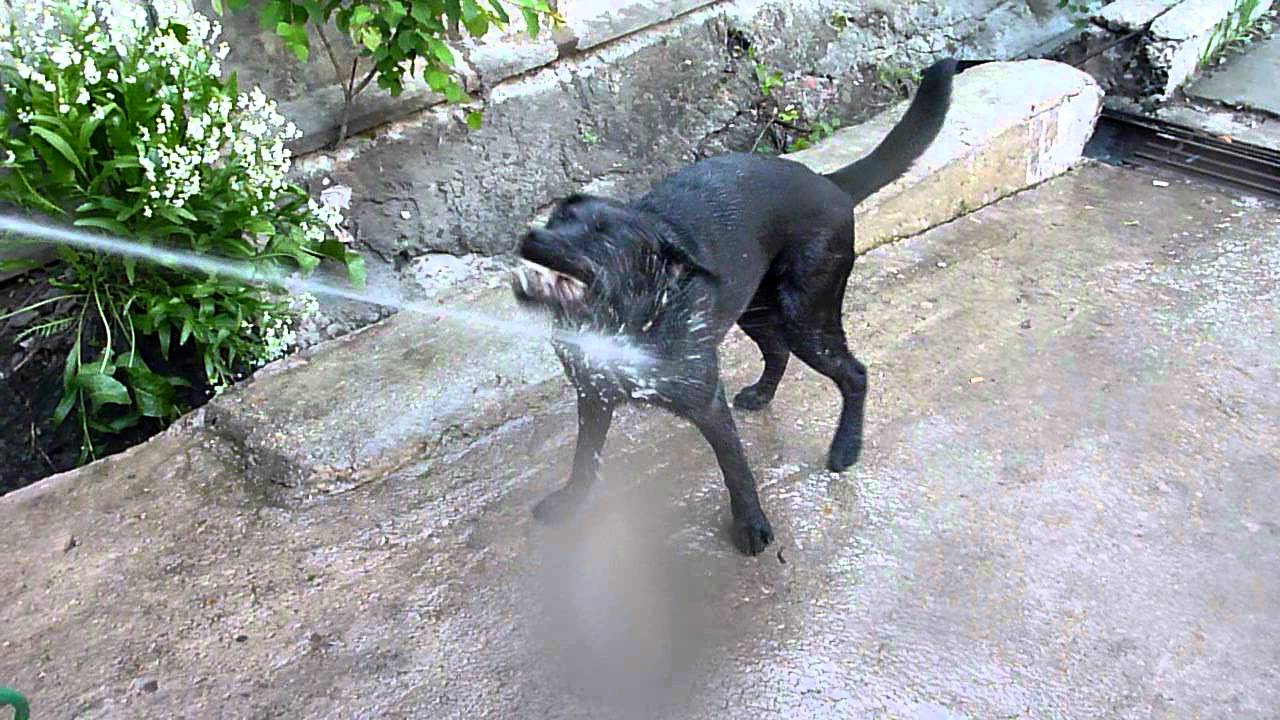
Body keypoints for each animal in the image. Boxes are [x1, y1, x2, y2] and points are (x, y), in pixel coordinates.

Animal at [514, 60, 957, 556]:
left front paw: (750, 524)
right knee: (778, 351)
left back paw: (846, 447)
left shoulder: (706, 400)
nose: (531, 237)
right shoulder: (592, 394)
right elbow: (584, 459)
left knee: (854, 373)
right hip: (755, 309)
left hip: (806, 316)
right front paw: (571, 503)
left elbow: (735, 467)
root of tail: (828, 182)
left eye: (602, 237)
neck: (632, 317)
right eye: (558, 219)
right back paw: (763, 394)